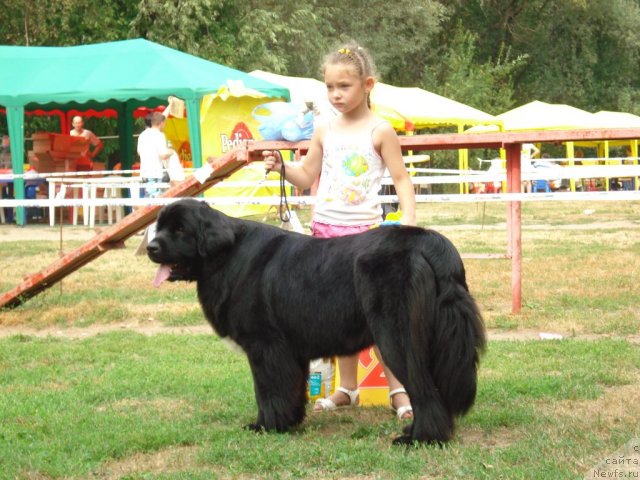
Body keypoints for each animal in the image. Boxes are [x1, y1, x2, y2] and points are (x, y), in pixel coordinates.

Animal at [146, 199, 484, 446]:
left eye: (180, 229)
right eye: (159, 228)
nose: (151, 248)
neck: (226, 256)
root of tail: (431, 244)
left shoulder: (265, 345)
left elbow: (267, 390)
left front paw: (265, 426)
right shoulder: (290, 351)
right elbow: (291, 389)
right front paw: (289, 421)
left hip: (396, 337)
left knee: (423, 389)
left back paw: (420, 438)